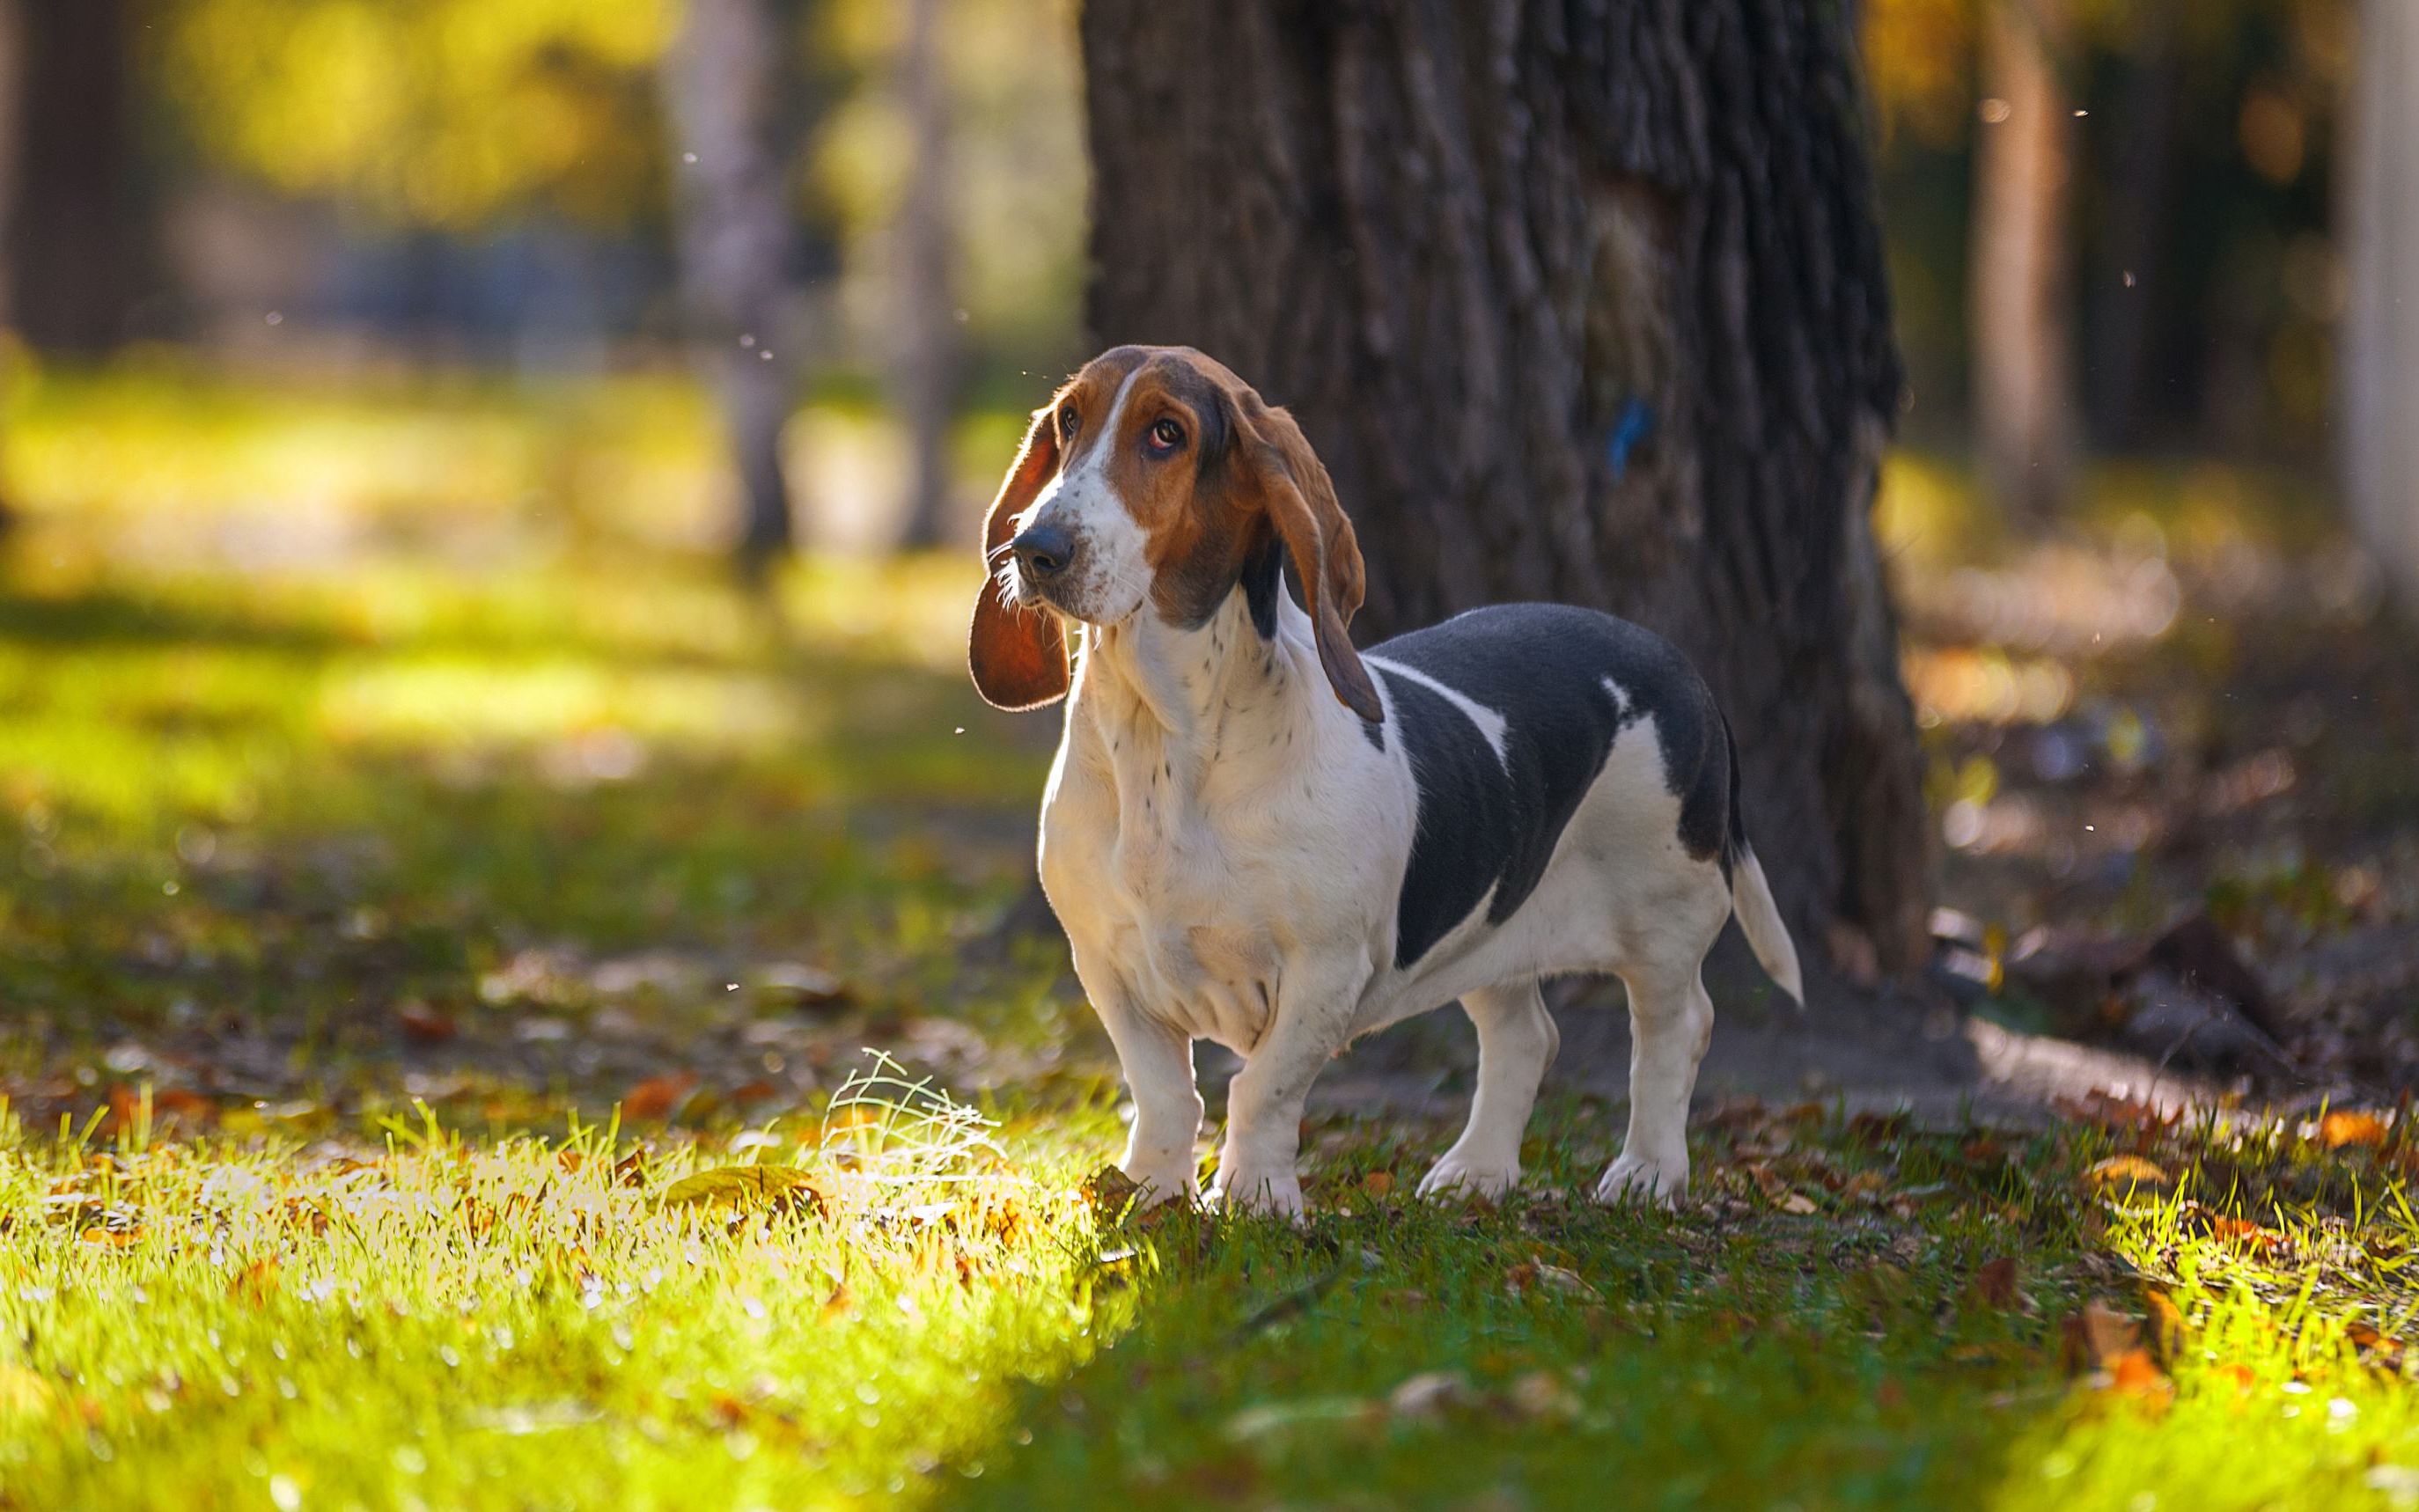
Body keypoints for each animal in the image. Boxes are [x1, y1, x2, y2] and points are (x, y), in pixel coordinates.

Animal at [967, 346, 1799, 1214]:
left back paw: (1646, 1173)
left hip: (1665, 915)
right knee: (1525, 1036)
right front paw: (1152, 1194)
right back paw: (1476, 1172)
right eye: (1069, 420)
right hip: (1493, 923)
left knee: (1676, 1028)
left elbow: (1261, 1089)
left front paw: (1257, 1199)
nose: (1035, 549)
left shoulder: (1323, 969)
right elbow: (1165, 1092)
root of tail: (1680, 667)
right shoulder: (1108, 964)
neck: (1163, 739)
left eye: (1167, 433)